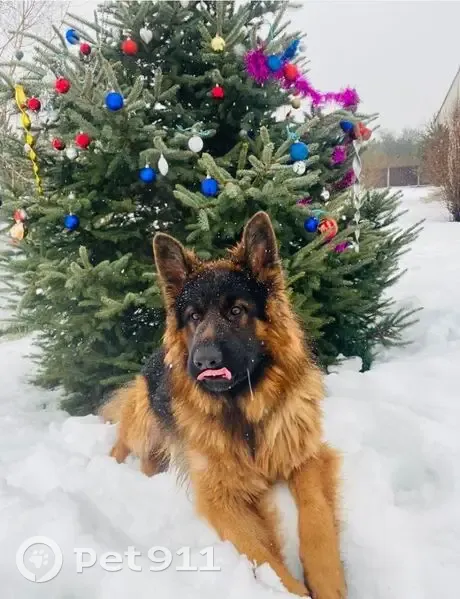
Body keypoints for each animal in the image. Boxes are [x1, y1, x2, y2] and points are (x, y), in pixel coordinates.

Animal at [100, 211, 346, 598]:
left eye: (236, 311)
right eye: (194, 317)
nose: (204, 362)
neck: (245, 413)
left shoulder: (306, 458)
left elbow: (316, 517)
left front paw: (327, 581)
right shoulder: (220, 498)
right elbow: (263, 555)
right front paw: (292, 588)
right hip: (143, 426)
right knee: (124, 448)